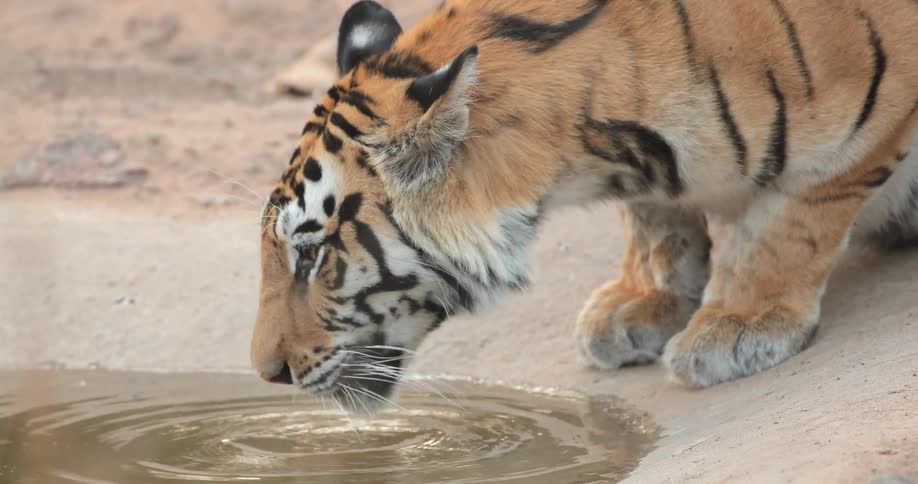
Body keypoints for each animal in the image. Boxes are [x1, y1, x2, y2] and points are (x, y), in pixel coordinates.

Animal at [250, 0, 918, 408]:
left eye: (310, 256)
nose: (267, 374)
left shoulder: (865, 125)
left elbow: (791, 225)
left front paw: (738, 324)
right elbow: (655, 218)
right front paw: (641, 303)